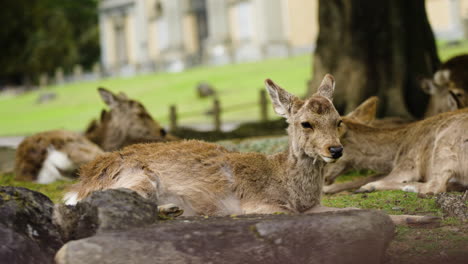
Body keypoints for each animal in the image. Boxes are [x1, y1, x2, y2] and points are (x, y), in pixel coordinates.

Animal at [65, 75, 436, 226]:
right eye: (306, 123)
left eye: (338, 119)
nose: (335, 150)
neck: (292, 190)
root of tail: (79, 183)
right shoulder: (261, 204)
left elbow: (363, 210)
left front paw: (424, 217)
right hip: (136, 178)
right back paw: (173, 209)